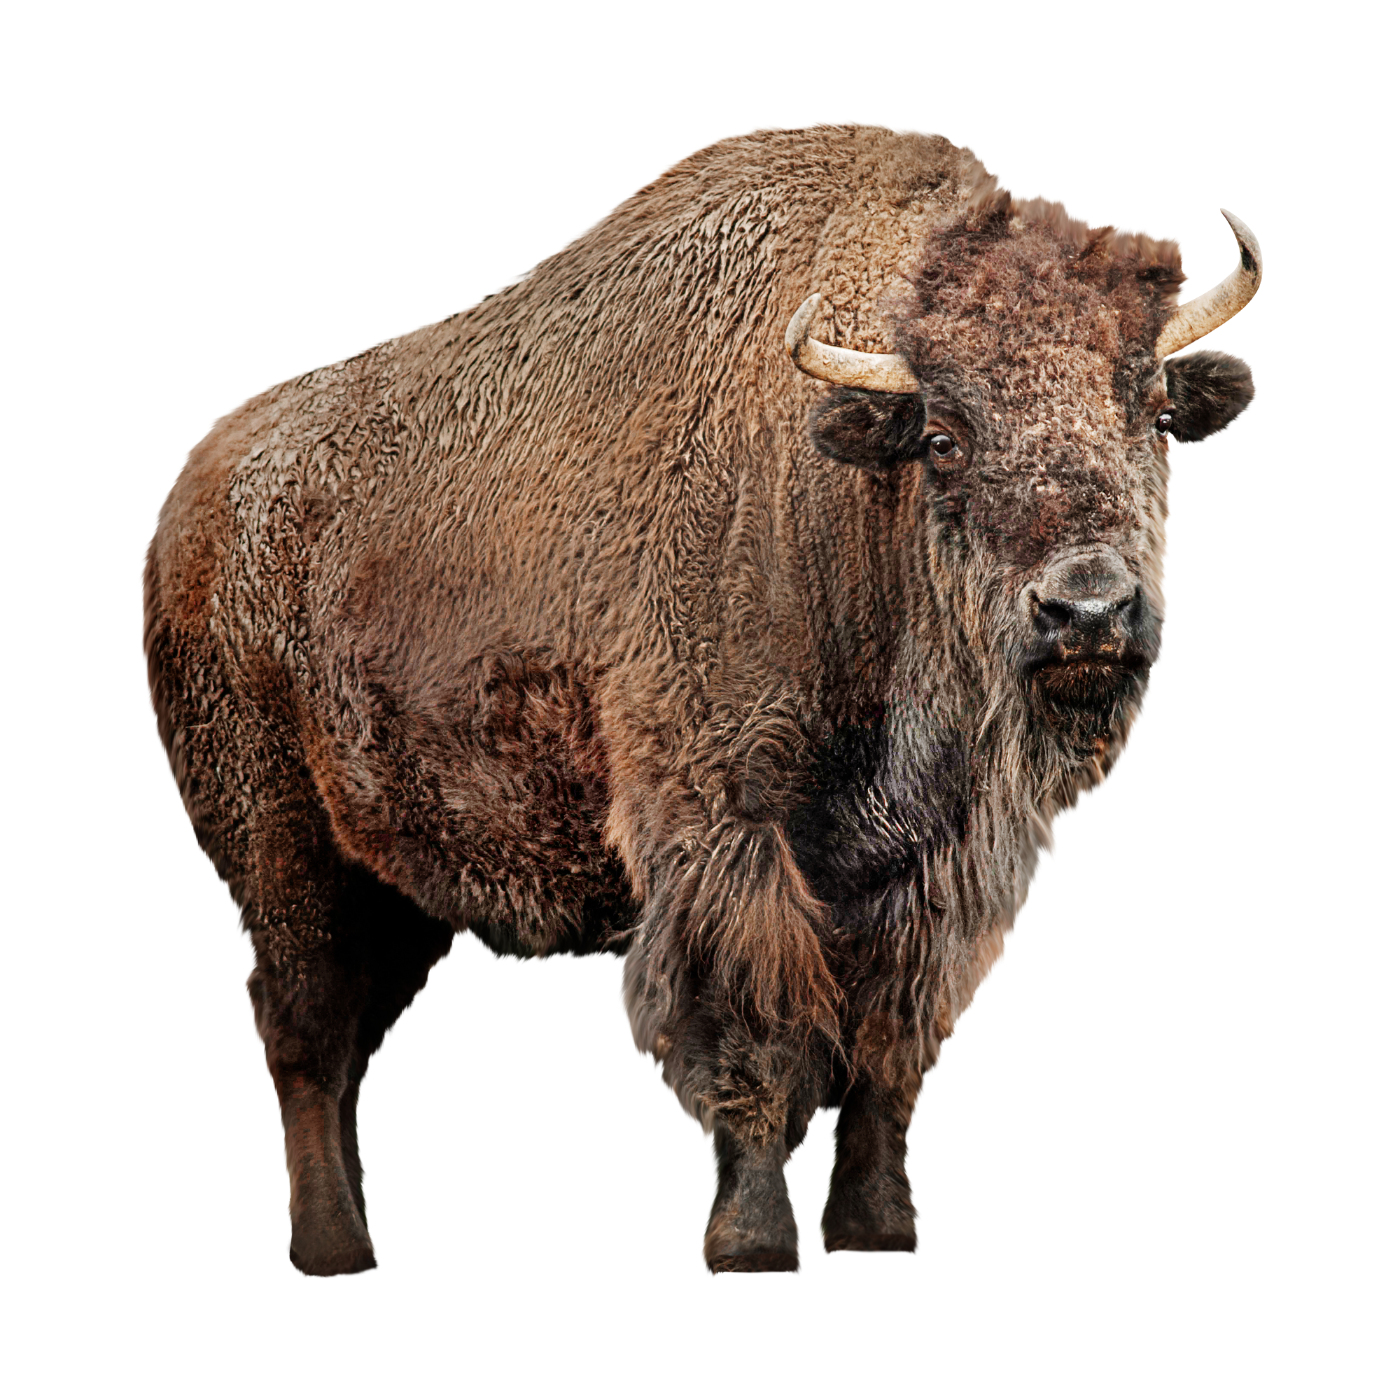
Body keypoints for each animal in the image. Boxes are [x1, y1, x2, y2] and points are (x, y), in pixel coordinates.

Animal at [141, 122, 1259, 1276]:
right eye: (944, 435)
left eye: (1153, 413)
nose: (1086, 607)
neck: (845, 503)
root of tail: (191, 500)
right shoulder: (730, 831)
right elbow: (759, 1031)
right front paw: (752, 1242)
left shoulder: (922, 873)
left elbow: (884, 1043)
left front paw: (874, 1230)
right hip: (274, 837)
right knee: (301, 1022)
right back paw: (333, 1246)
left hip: (399, 881)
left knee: (353, 1021)